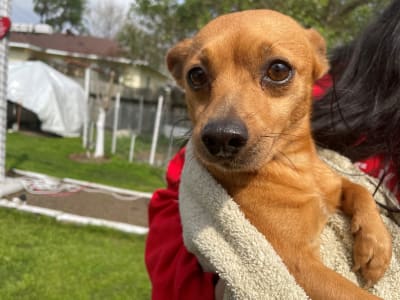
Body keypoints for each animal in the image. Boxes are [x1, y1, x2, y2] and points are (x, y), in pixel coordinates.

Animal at [166, 9, 390, 300]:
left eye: (278, 70)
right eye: (196, 76)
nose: (220, 137)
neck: (296, 168)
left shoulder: (335, 184)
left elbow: (360, 190)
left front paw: (376, 244)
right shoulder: (298, 266)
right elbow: (358, 295)